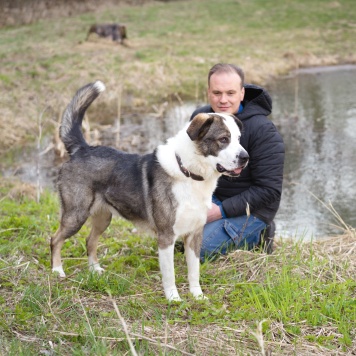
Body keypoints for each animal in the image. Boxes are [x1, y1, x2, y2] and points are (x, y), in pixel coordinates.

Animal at [51, 81, 249, 300]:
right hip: (76, 215)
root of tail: (82, 148)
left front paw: (197, 296)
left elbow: (194, 271)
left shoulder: (195, 234)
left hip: (103, 217)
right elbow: (170, 274)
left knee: (90, 240)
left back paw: (95, 269)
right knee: (55, 239)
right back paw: (57, 270)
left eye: (239, 138)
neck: (189, 173)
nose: (246, 158)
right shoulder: (166, 237)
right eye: (223, 139)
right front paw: (173, 299)